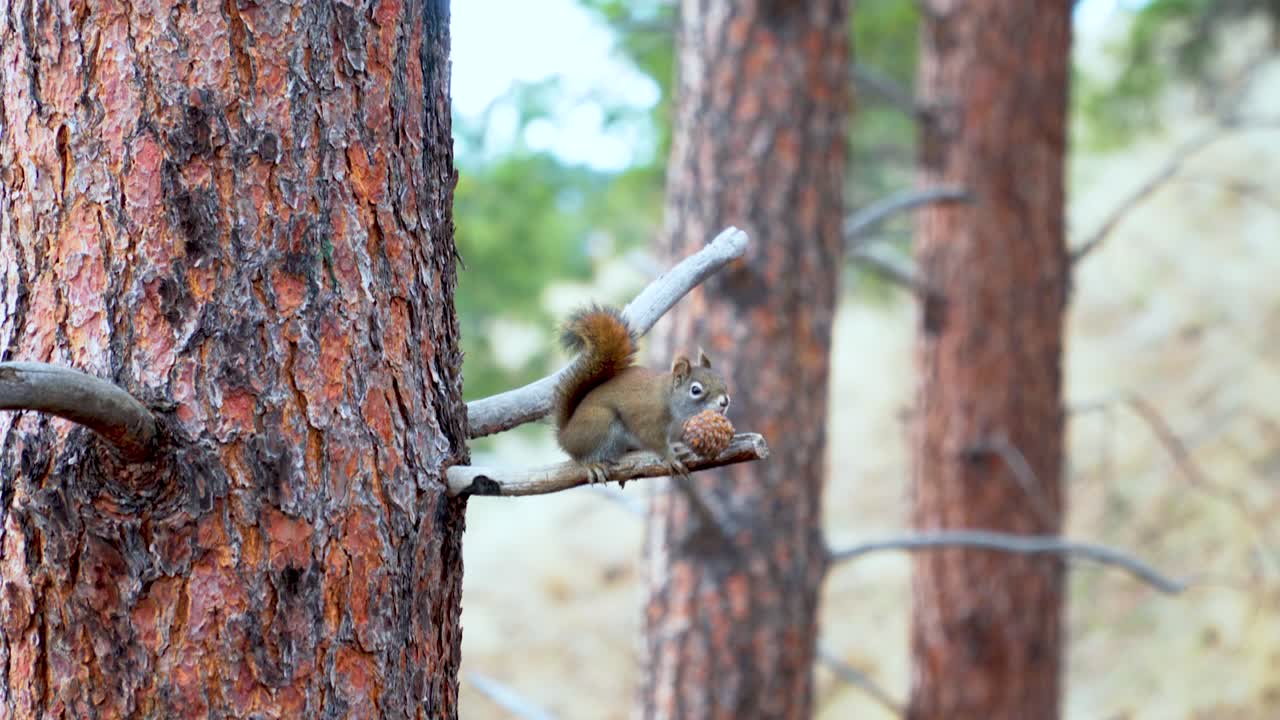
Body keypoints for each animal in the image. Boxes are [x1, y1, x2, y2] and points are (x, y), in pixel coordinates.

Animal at [553, 305, 730, 486]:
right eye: (695, 390)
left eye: (721, 379)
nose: (725, 401)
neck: (675, 407)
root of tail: (565, 434)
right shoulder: (649, 420)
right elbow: (654, 441)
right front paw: (670, 457)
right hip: (600, 423)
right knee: (579, 457)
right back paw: (592, 465)